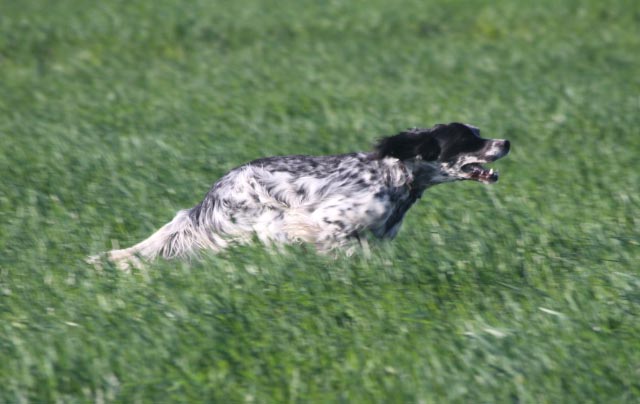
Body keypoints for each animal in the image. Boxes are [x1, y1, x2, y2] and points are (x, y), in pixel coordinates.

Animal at [90, 121, 510, 270]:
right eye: (467, 138)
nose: (506, 141)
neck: (399, 175)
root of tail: (210, 196)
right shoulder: (322, 222)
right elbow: (340, 247)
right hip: (266, 219)